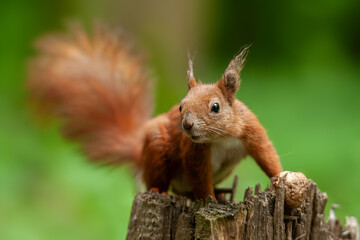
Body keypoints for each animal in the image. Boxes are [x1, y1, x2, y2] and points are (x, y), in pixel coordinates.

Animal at [28, 24, 282, 201]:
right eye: (180, 107)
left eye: (215, 107)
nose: (187, 125)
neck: (221, 138)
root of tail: (140, 153)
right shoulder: (194, 151)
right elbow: (199, 175)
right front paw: (208, 198)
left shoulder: (251, 130)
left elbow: (266, 154)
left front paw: (281, 178)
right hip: (158, 150)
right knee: (158, 181)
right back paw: (163, 192)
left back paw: (219, 193)